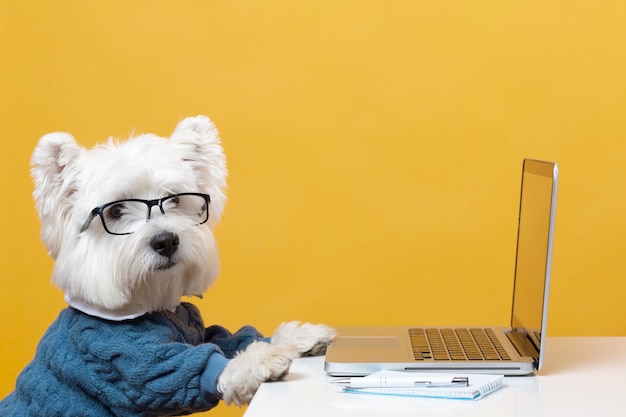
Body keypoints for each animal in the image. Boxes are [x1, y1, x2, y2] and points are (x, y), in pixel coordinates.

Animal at [0, 115, 336, 414]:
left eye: (174, 199)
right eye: (116, 211)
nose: (166, 241)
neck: (151, 305)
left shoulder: (196, 330)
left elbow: (228, 338)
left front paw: (298, 338)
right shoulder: (127, 359)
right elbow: (191, 370)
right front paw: (261, 360)